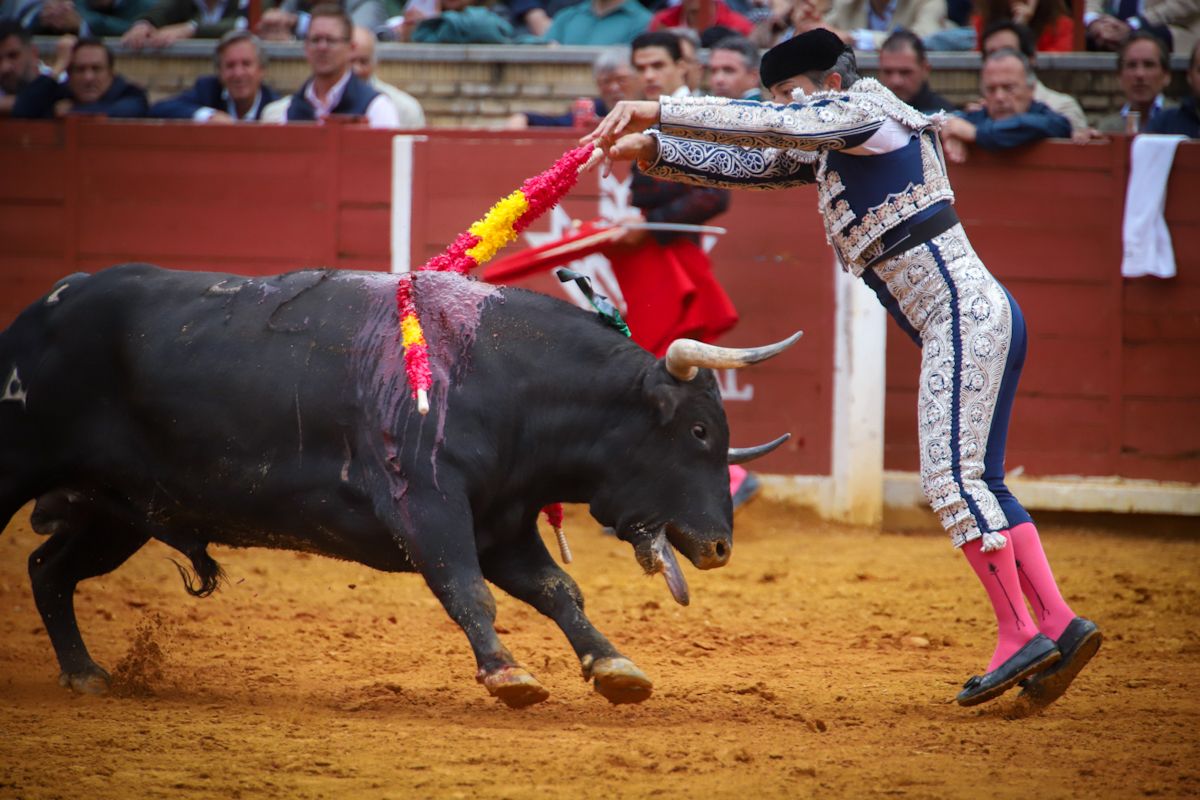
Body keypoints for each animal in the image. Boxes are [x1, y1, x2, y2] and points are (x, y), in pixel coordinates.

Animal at [4, 262, 801, 705]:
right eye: (698, 433)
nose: (720, 547)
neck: (506, 378)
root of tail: (46, 305)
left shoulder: (502, 525)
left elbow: (557, 590)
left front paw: (615, 667)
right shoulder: (428, 507)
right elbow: (468, 591)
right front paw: (507, 675)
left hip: (118, 509)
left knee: (48, 569)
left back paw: (85, 674)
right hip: (28, 468)